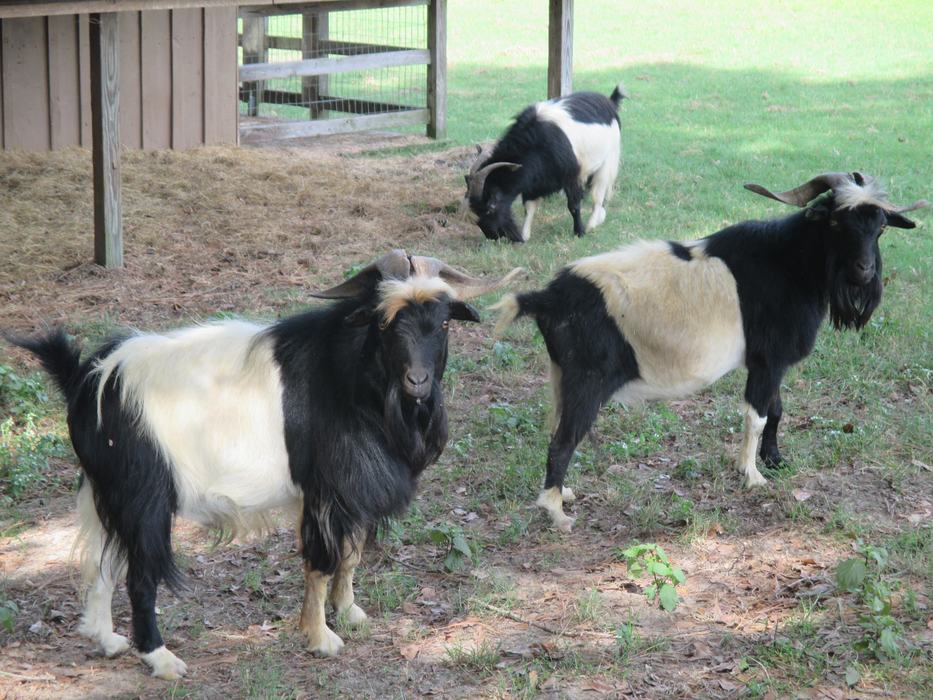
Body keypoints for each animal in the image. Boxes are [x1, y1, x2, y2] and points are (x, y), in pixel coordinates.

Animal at [7, 251, 520, 678]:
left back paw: (107, 639)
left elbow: (350, 555)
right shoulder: (324, 491)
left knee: (100, 563)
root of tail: (90, 377)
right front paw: (320, 637)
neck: (355, 378)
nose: (418, 381)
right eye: (385, 323)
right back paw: (161, 659)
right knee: (139, 577)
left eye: (443, 324)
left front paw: (350, 613)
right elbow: (321, 562)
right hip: (144, 498)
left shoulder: (350, 494)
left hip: (102, 492)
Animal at [464, 83, 626, 242]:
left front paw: (579, 232)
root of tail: (610, 102)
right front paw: (525, 236)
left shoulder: (571, 175)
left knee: (599, 192)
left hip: (608, 160)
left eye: (491, 207)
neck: (536, 143)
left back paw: (593, 223)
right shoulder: (533, 181)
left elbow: (573, 205)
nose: (493, 235)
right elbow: (529, 208)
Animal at [494, 172, 926, 531]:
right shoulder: (768, 362)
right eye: (836, 222)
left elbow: (776, 410)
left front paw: (775, 460)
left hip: (561, 376)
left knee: (555, 428)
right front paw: (752, 476)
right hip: (587, 382)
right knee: (563, 441)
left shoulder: (767, 362)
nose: (864, 271)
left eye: (880, 227)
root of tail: (545, 298)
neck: (789, 263)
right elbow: (757, 415)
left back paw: (563, 494)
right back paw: (556, 513)